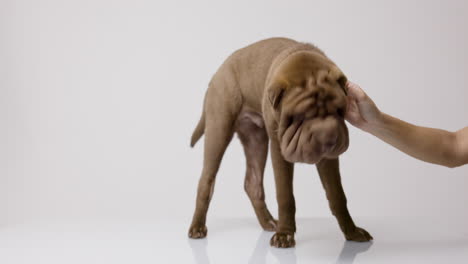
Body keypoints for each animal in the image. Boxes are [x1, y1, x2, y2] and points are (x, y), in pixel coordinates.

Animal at [186, 37, 372, 248]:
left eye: (339, 110)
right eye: (299, 117)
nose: (327, 137)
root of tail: (218, 71)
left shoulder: (328, 158)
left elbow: (337, 194)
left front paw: (352, 231)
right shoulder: (279, 147)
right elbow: (285, 194)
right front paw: (285, 235)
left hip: (256, 139)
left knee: (252, 182)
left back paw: (268, 221)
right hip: (219, 127)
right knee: (206, 180)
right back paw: (197, 227)